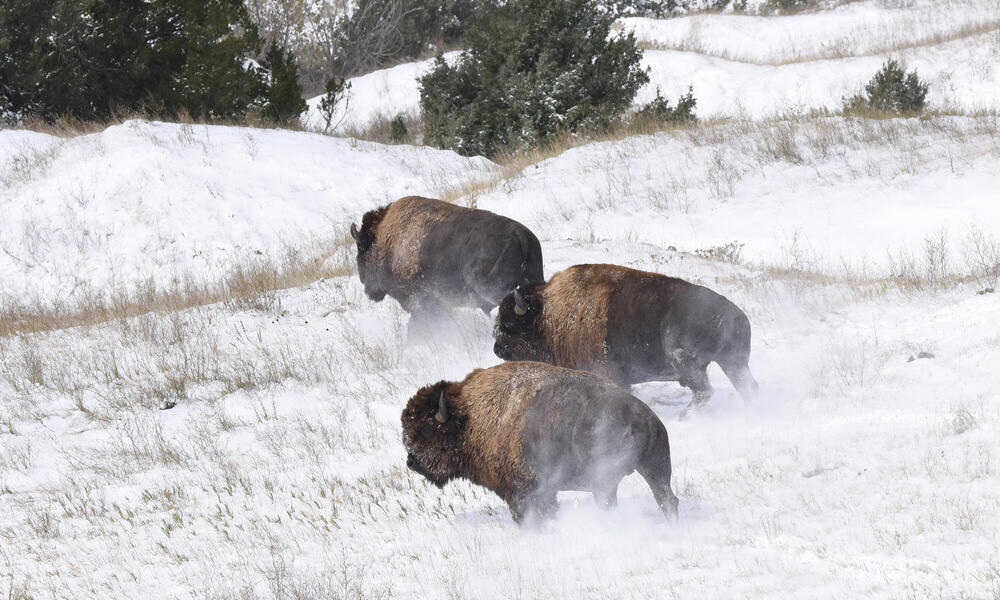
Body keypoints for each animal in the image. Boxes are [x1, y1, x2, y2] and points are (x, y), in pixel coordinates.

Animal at [400, 360, 680, 524]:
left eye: (427, 430)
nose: (411, 461)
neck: (470, 416)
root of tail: (643, 418)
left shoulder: (523, 491)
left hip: (607, 479)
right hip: (655, 468)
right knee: (667, 499)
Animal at [492, 264, 756, 418]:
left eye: (509, 325)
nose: (497, 348)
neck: (549, 315)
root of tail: (732, 314)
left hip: (688, 364)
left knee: (704, 392)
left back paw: (685, 416)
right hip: (734, 363)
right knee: (747, 387)